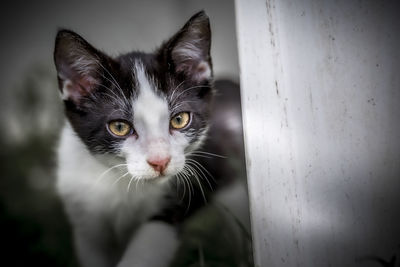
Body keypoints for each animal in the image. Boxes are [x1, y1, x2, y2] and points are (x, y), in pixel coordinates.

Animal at [53, 11, 247, 267]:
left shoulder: (169, 208)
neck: (122, 181)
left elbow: (145, 250)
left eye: (179, 119)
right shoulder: (86, 224)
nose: (160, 161)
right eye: (119, 127)